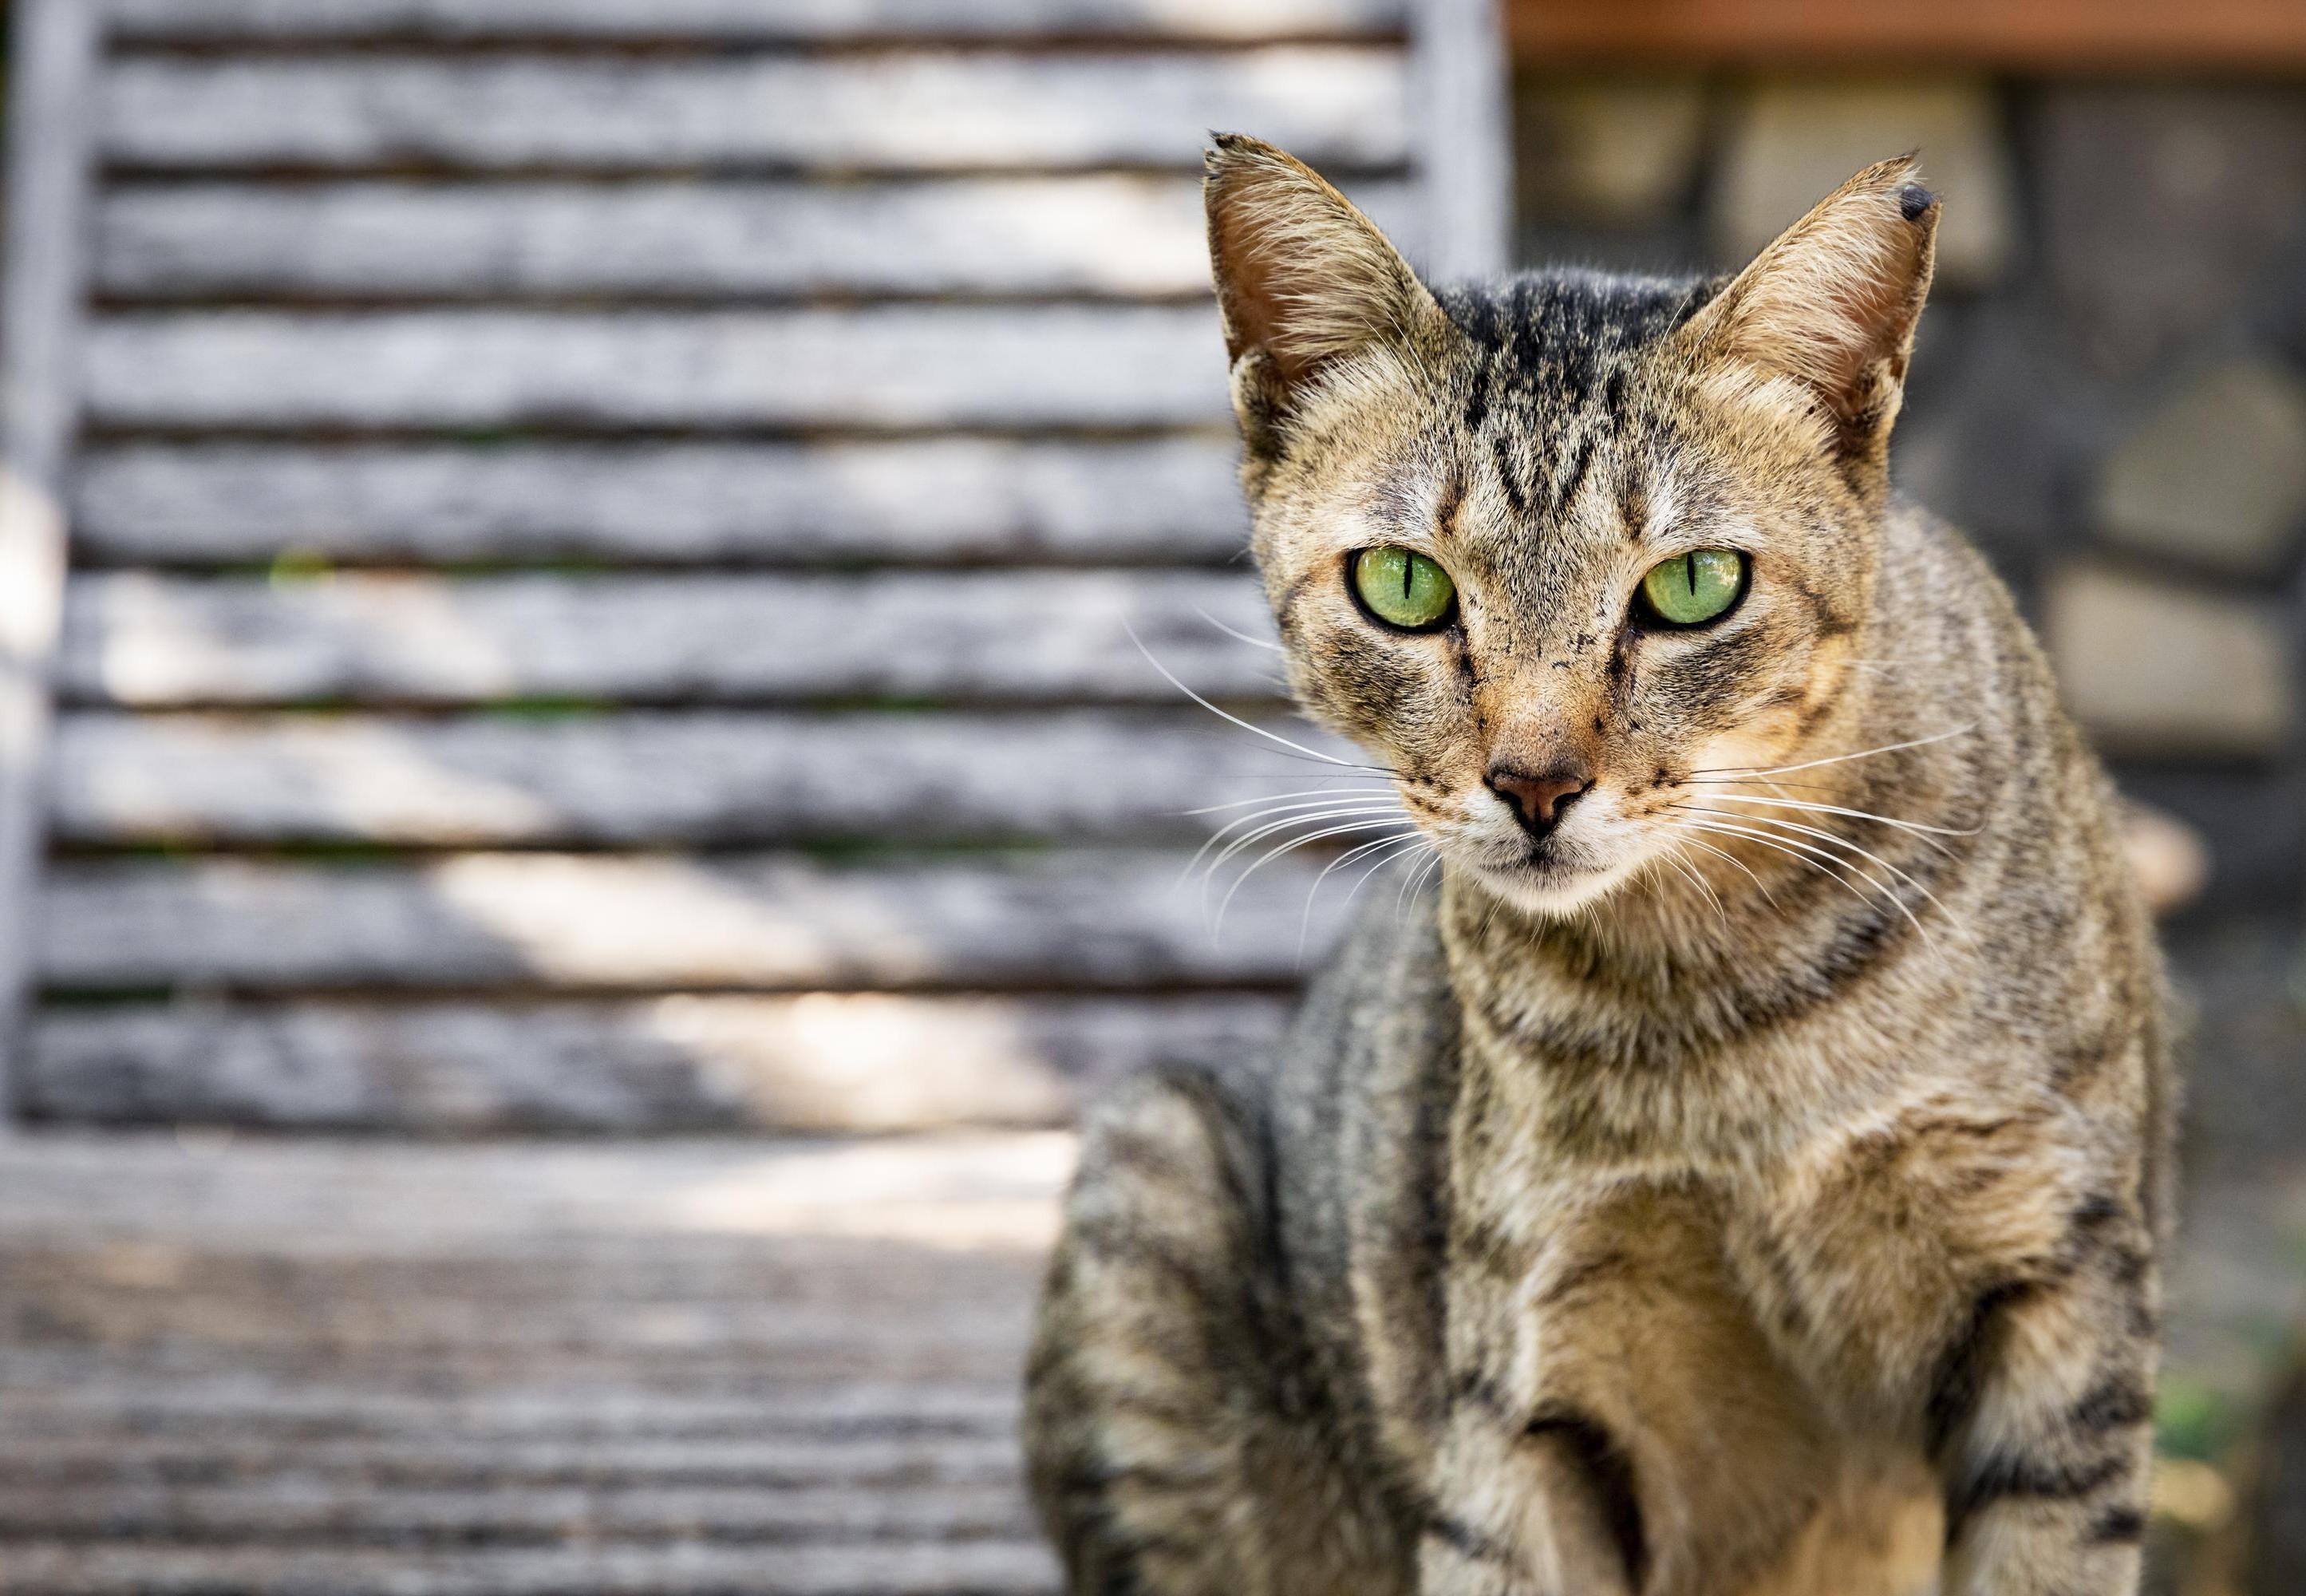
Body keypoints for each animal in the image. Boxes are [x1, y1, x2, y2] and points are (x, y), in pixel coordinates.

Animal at [1019, 136, 2167, 1596]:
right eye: (1403, 586)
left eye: (1693, 587)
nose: (1534, 783)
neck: (1727, 1019)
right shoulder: (1526, 1374)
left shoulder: (2058, 1295)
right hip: (1153, 1174)